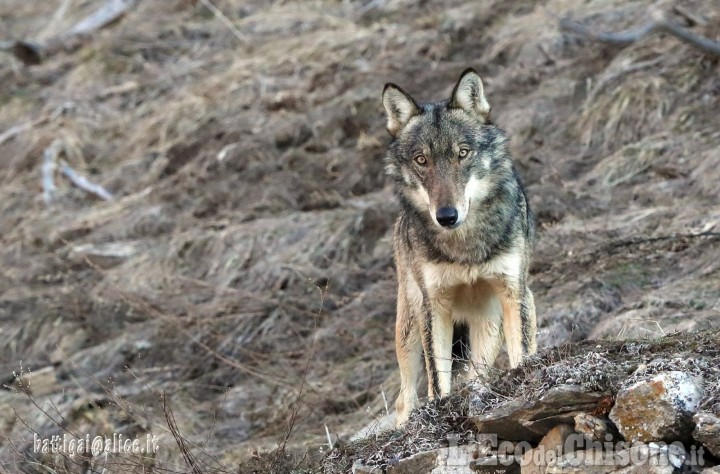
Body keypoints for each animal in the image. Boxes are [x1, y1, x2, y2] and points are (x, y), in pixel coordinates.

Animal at [382, 69, 536, 426]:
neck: (464, 246)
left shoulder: (513, 292)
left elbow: (521, 357)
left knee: (478, 374)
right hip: (409, 328)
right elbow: (438, 382)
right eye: (421, 160)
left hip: (496, 321)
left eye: (462, 153)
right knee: (404, 398)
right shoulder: (434, 306)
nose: (446, 216)